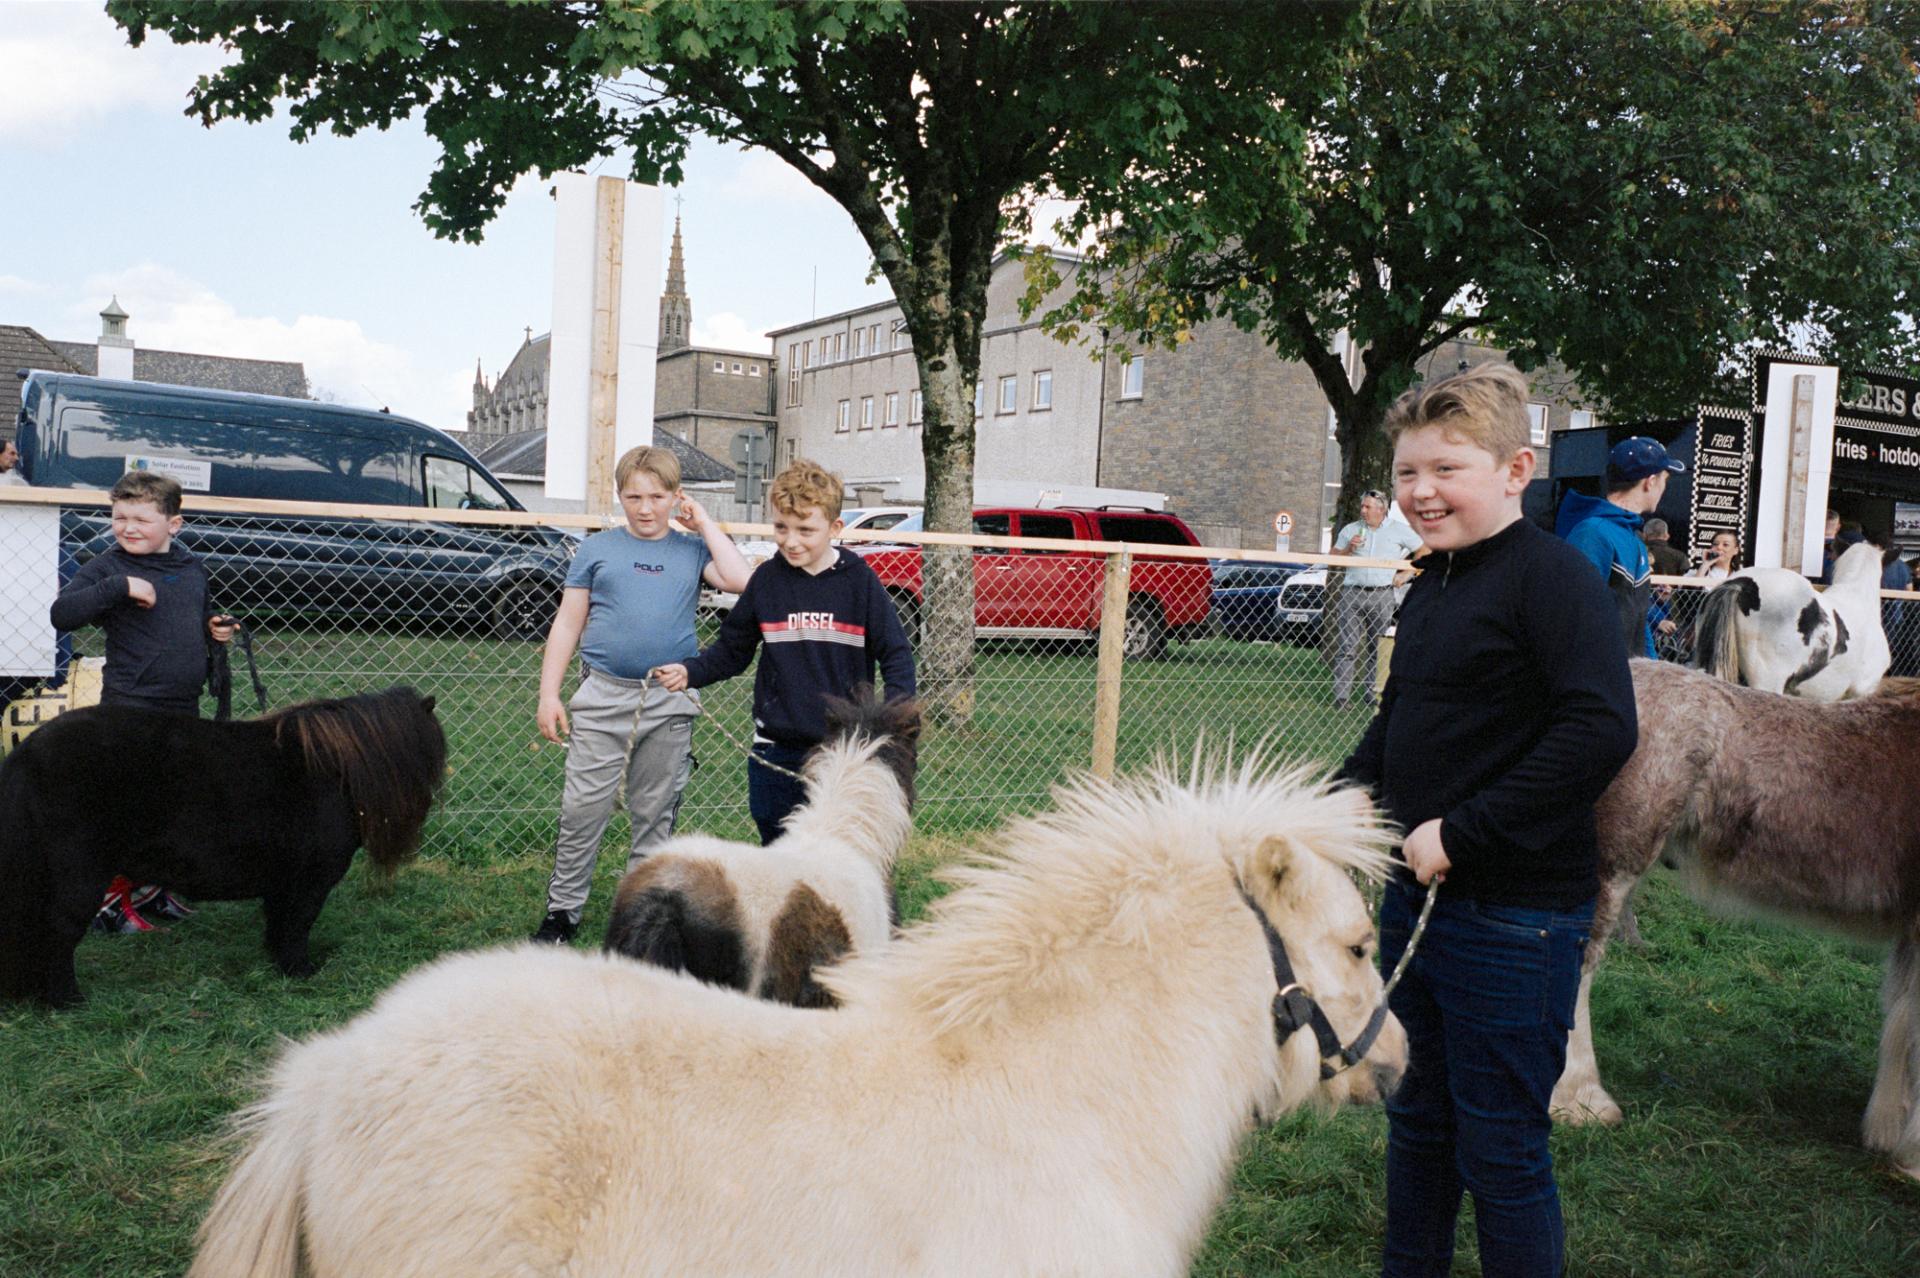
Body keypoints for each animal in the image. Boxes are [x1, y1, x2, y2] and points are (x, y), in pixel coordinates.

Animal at [0, 686, 441, 1005]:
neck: (335, 773)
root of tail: (26, 752)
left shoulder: (282, 881)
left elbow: (279, 923)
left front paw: (279, 964)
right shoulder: (310, 881)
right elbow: (299, 924)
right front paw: (301, 971)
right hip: (80, 876)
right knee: (59, 931)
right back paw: (67, 1001)